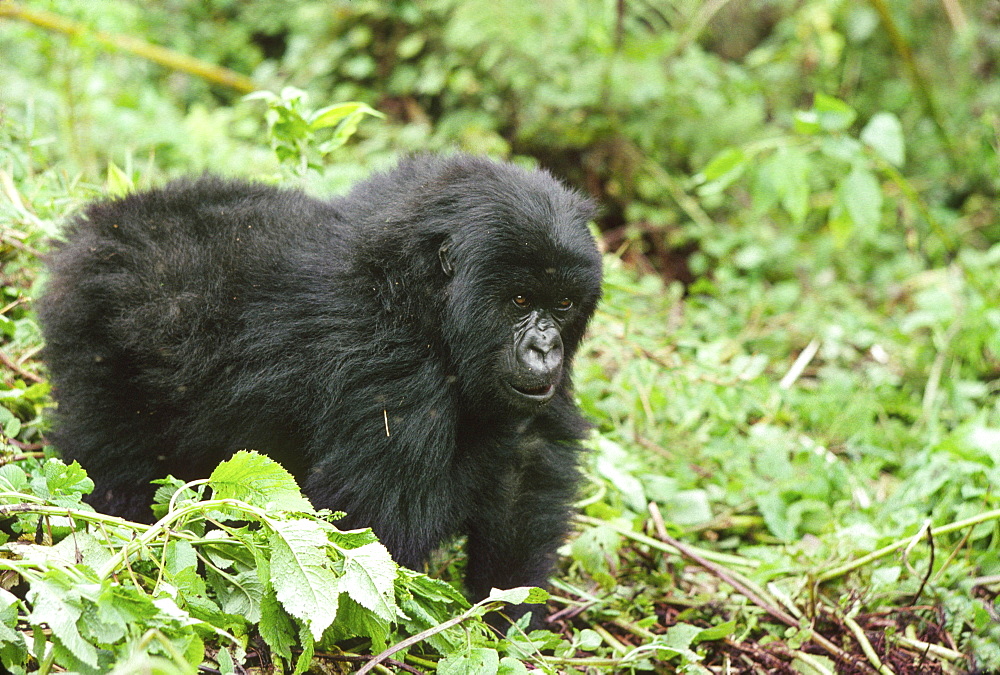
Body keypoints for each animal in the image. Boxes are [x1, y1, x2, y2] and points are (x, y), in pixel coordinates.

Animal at [37, 154, 600, 624]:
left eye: (563, 304)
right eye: (520, 300)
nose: (545, 349)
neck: (413, 288)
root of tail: (98, 226)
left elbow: (524, 472)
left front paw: (510, 620)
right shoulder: (391, 364)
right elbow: (374, 529)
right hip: (93, 330)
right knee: (111, 454)